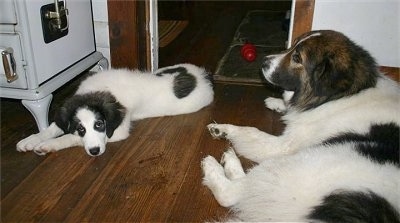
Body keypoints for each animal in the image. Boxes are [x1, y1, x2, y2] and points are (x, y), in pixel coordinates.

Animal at [202, 30, 398, 222]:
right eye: (293, 44)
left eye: (297, 58)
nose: (263, 61)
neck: (343, 95)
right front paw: (278, 103)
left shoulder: (283, 146)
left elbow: (250, 131)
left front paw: (223, 128)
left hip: (296, 164)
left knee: (233, 194)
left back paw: (216, 167)